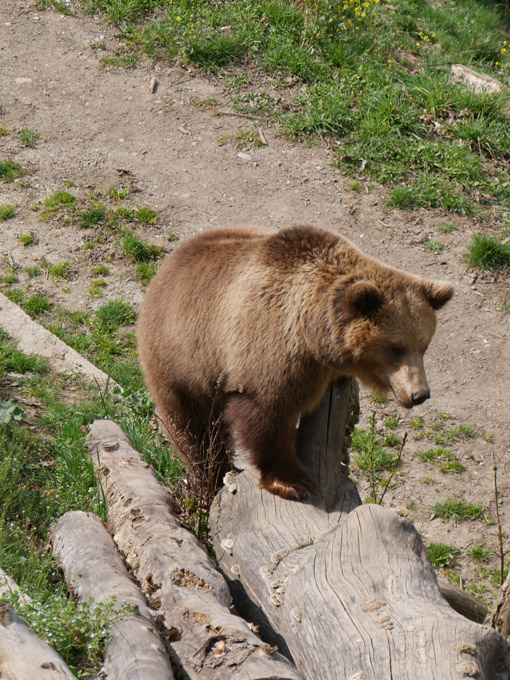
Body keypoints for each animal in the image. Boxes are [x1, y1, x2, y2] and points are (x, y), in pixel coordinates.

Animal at [137, 223, 452, 500]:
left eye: (423, 346)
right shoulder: (270, 343)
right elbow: (267, 414)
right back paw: (211, 475)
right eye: (395, 348)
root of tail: (166, 267)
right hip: (181, 361)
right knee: (194, 430)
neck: (313, 337)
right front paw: (294, 482)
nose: (420, 394)